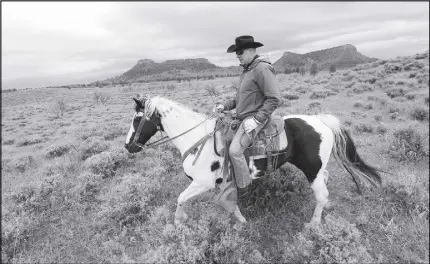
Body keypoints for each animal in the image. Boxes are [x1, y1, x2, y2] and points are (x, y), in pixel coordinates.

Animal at [124, 95, 382, 225]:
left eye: (137, 119)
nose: (128, 146)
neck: (198, 139)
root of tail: (321, 120)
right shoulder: (224, 183)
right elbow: (230, 204)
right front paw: (241, 221)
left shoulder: (202, 183)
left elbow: (180, 199)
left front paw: (179, 221)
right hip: (317, 169)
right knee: (325, 181)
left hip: (311, 170)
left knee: (321, 195)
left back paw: (314, 224)